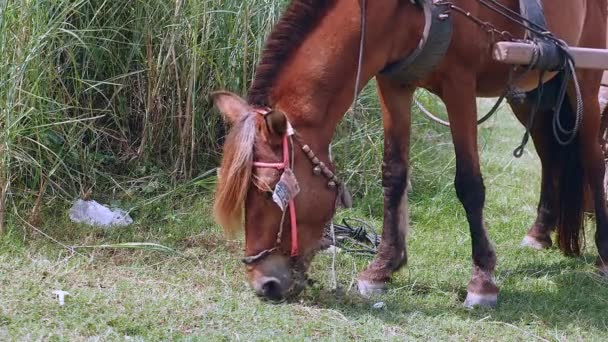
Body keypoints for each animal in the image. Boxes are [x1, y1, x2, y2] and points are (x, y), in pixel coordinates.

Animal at [210, 0, 608, 306]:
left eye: (268, 190)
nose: (263, 284)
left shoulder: (459, 84)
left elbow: (469, 184)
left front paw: (482, 281)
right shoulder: (394, 82)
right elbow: (394, 174)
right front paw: (382, 267)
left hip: (586, 82)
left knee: (592, 158)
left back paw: (603, 254)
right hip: (532, 91)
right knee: (550, 155)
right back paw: (540, 232)